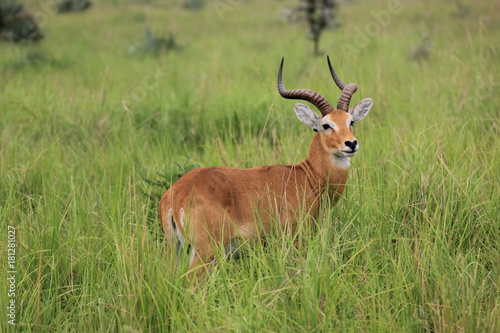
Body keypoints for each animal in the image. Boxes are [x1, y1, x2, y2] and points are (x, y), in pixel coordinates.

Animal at [158, 57, 374, 274]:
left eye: (351, 121)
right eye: (326, 125)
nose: (351, 143)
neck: (308, 176)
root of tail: (176, 194)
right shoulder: (295, 239)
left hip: (176, 251)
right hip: (206, 253)